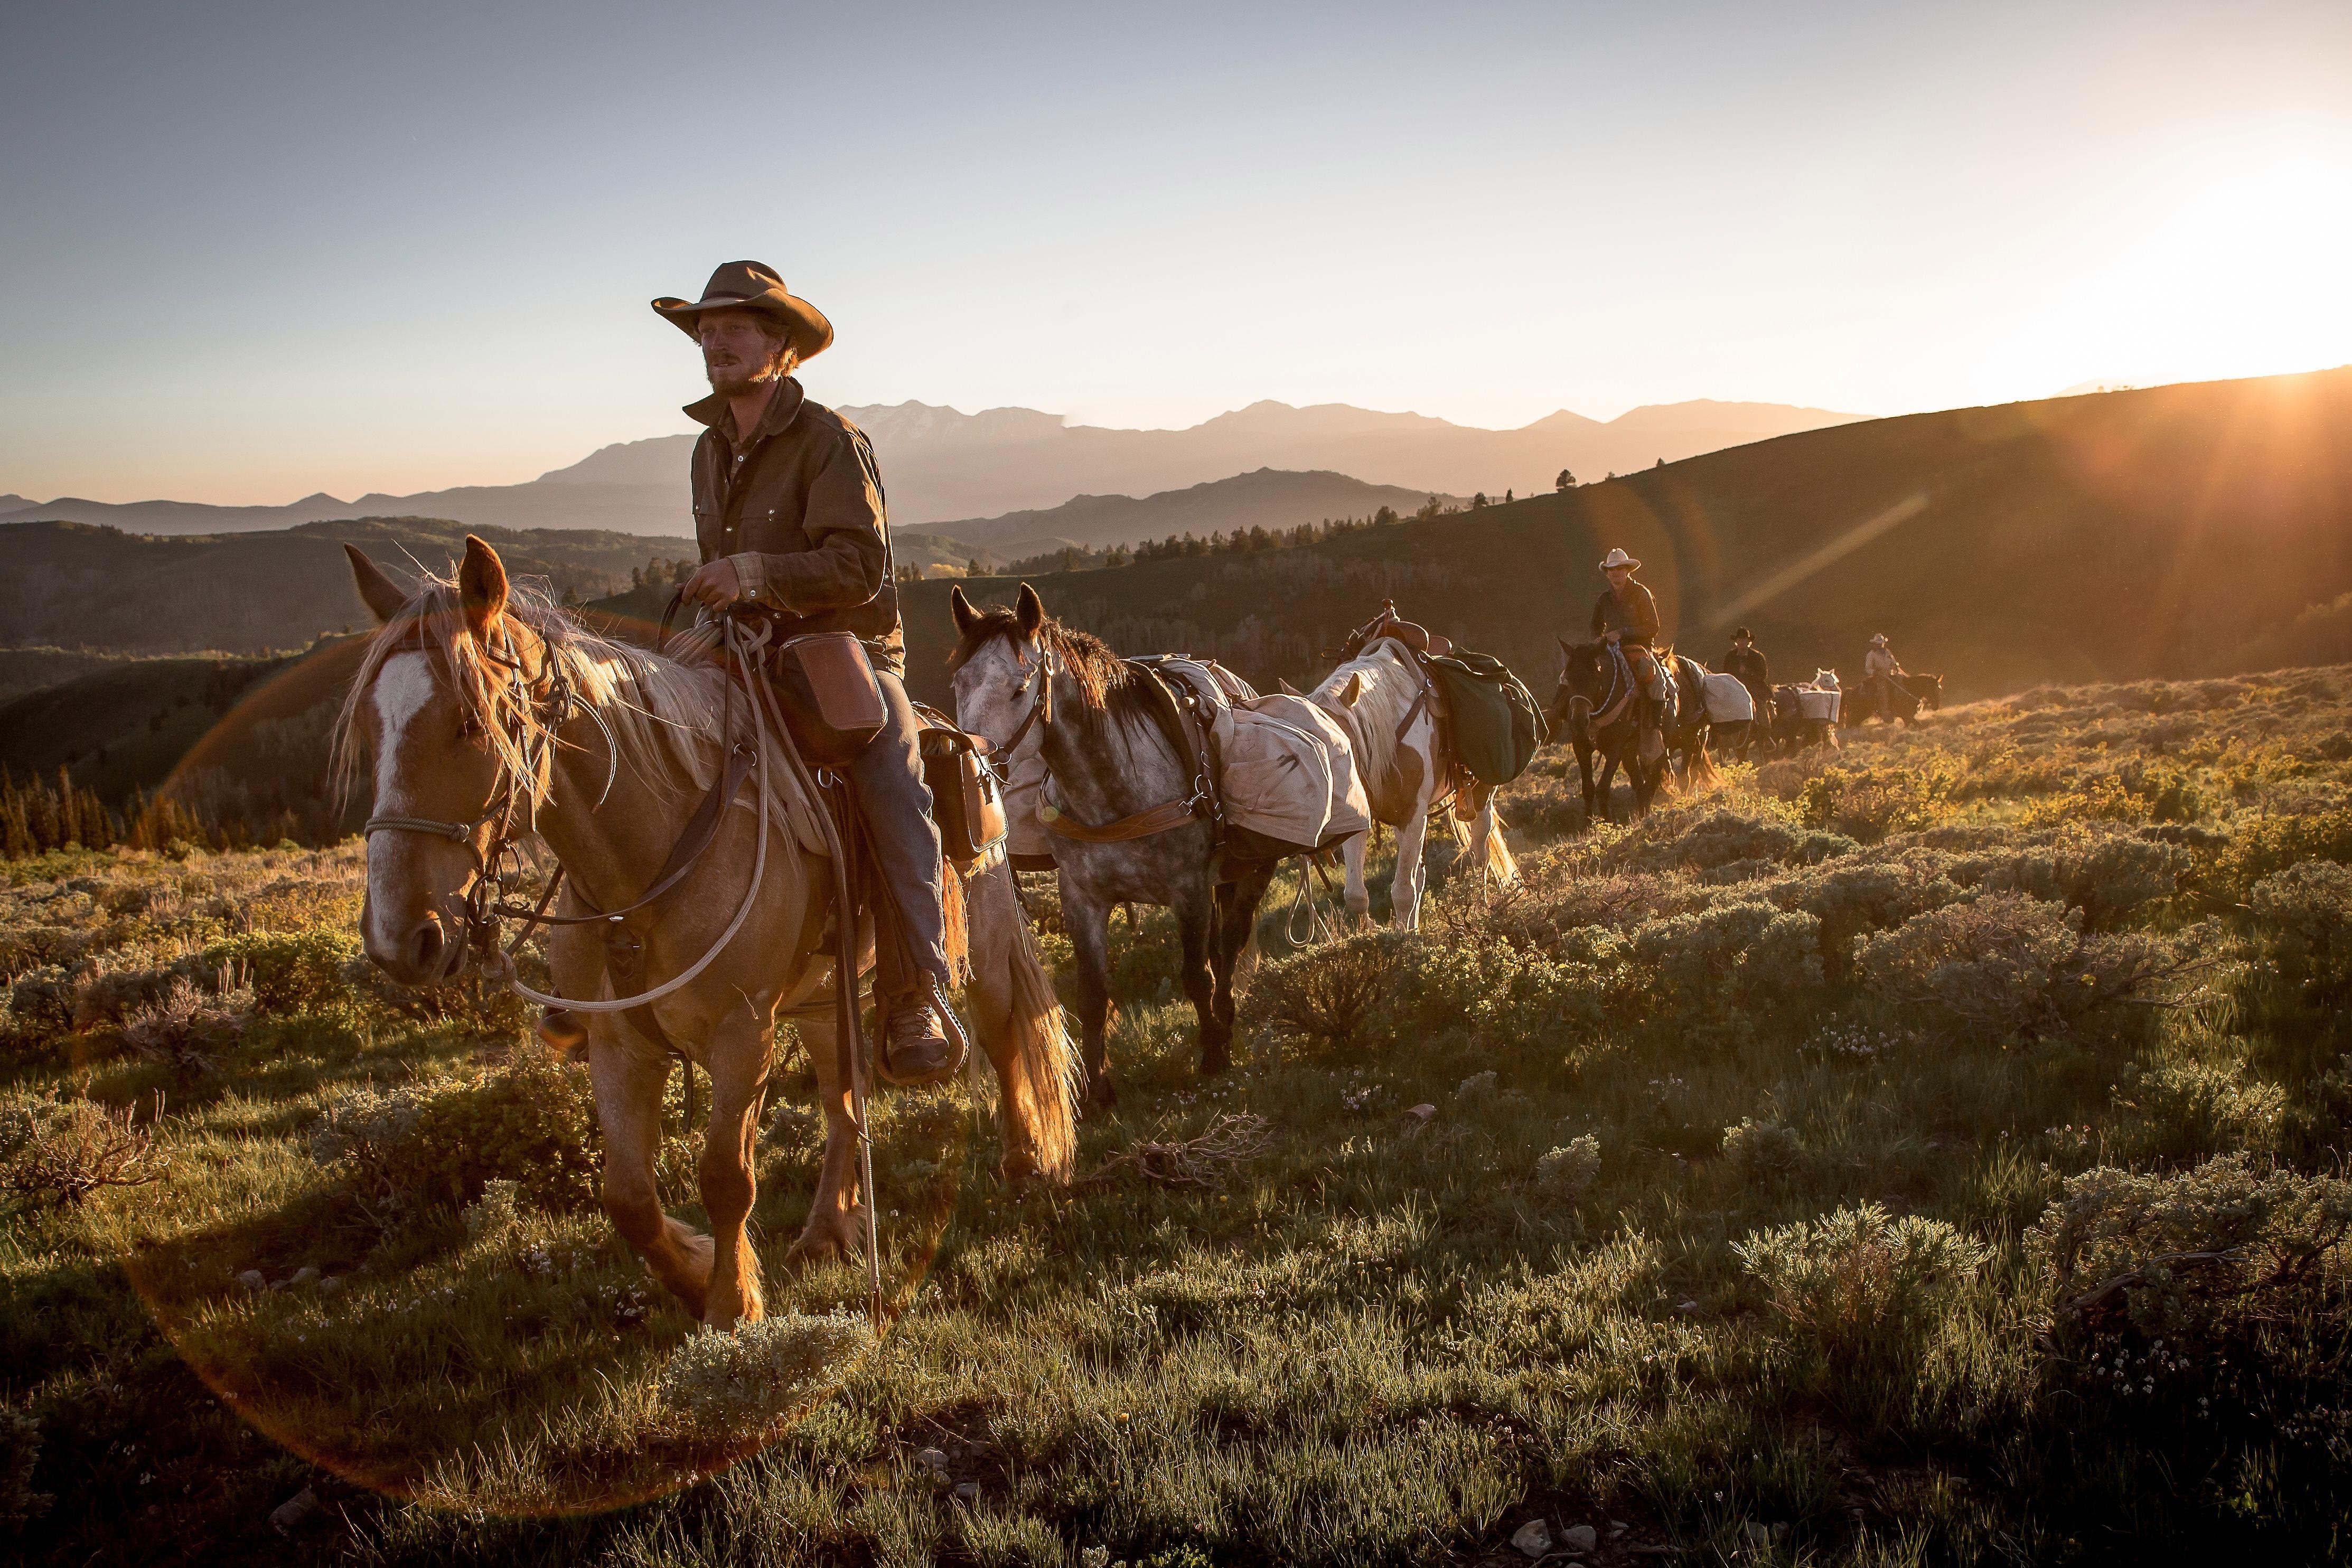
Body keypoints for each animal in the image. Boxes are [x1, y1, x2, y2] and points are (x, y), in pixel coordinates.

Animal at [341, 536, 1077, 1326]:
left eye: (471, 724)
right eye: (370, 731)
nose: (397, 939)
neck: (649, 863)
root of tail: (971, 745)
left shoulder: (741, 1031)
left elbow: (726, 1174)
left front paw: (732, 1306)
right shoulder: (619, 1041)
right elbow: (628, 1196)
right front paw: (694, 1274)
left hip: (983, 942)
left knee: (1001, 1033)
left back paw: (1023, 1161)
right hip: (824, 997)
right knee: (842, 1101)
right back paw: (827, 1226)